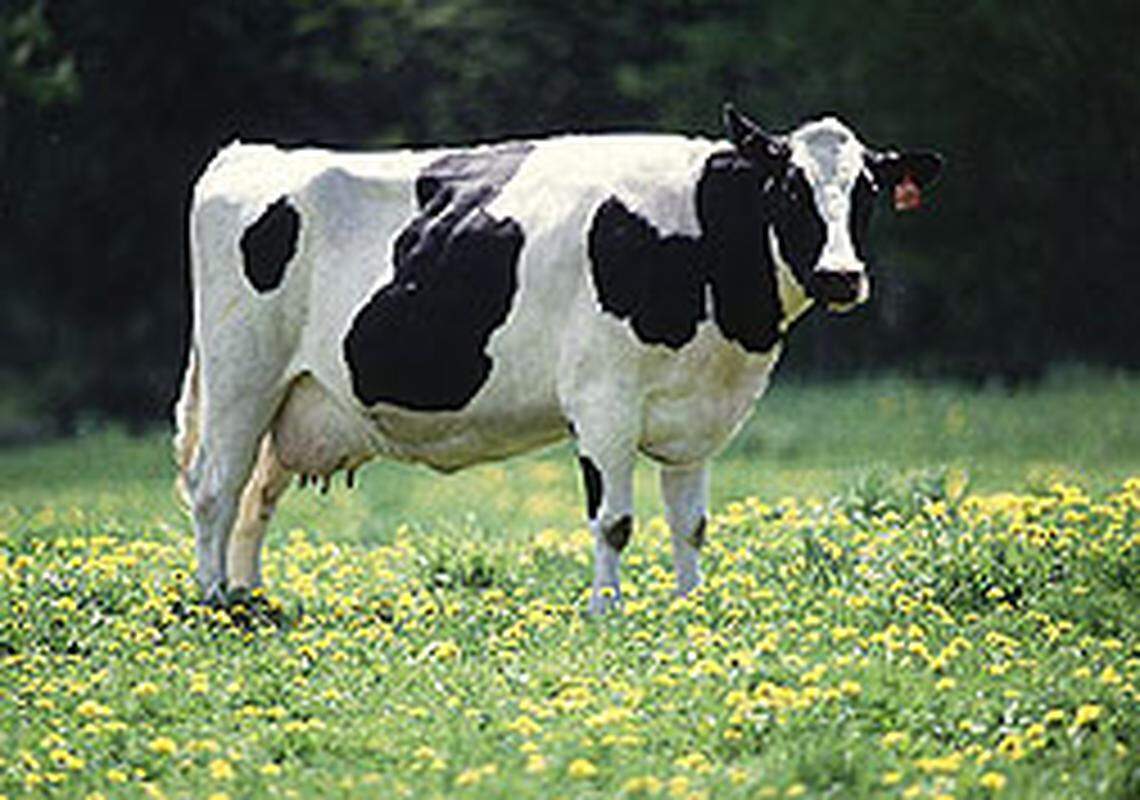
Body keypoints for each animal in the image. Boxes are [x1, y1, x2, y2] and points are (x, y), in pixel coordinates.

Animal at [174, 105, 942, 613]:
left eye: (868, 191)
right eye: (789, 188)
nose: (841, 276)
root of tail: (249, 153)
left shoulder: (696, 416)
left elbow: (690, 523)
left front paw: (692, 608)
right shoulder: (603, 402)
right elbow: (615, 521)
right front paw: (607, 612)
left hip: (293, 398)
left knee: (255, 499)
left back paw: (251, 600)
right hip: (242, 378)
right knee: (215, 490)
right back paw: (214, 603)